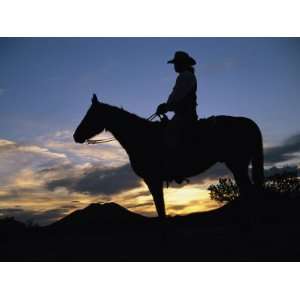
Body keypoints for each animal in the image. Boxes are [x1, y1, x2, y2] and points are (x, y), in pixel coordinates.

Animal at [74, 97, 264, 219]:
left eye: (90, 115)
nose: (76, 136)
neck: (141, 136)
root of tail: (249, 123)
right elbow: (161, 209)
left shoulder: (153, 180)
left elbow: (161, 210)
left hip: (237, 164)